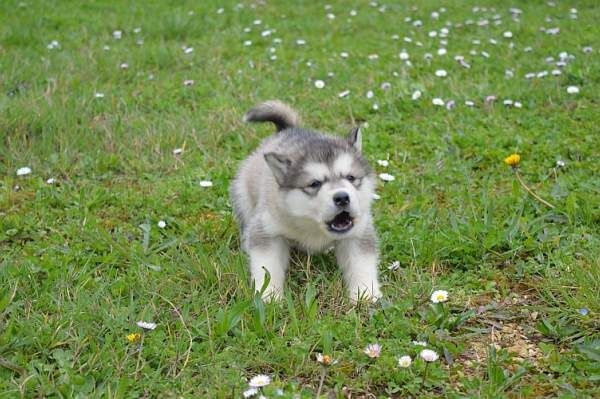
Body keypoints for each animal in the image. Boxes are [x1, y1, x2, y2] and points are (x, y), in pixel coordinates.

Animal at [230, 101, 380, 304]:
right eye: (314, 184)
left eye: (350, 177)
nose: (342, 197)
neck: (313, 227)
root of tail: (288, 130)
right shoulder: (268, 230)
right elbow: (266, 265)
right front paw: (269, 296)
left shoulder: (358, 232)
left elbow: (362, 263)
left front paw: (366, 294)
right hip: (243, 195)